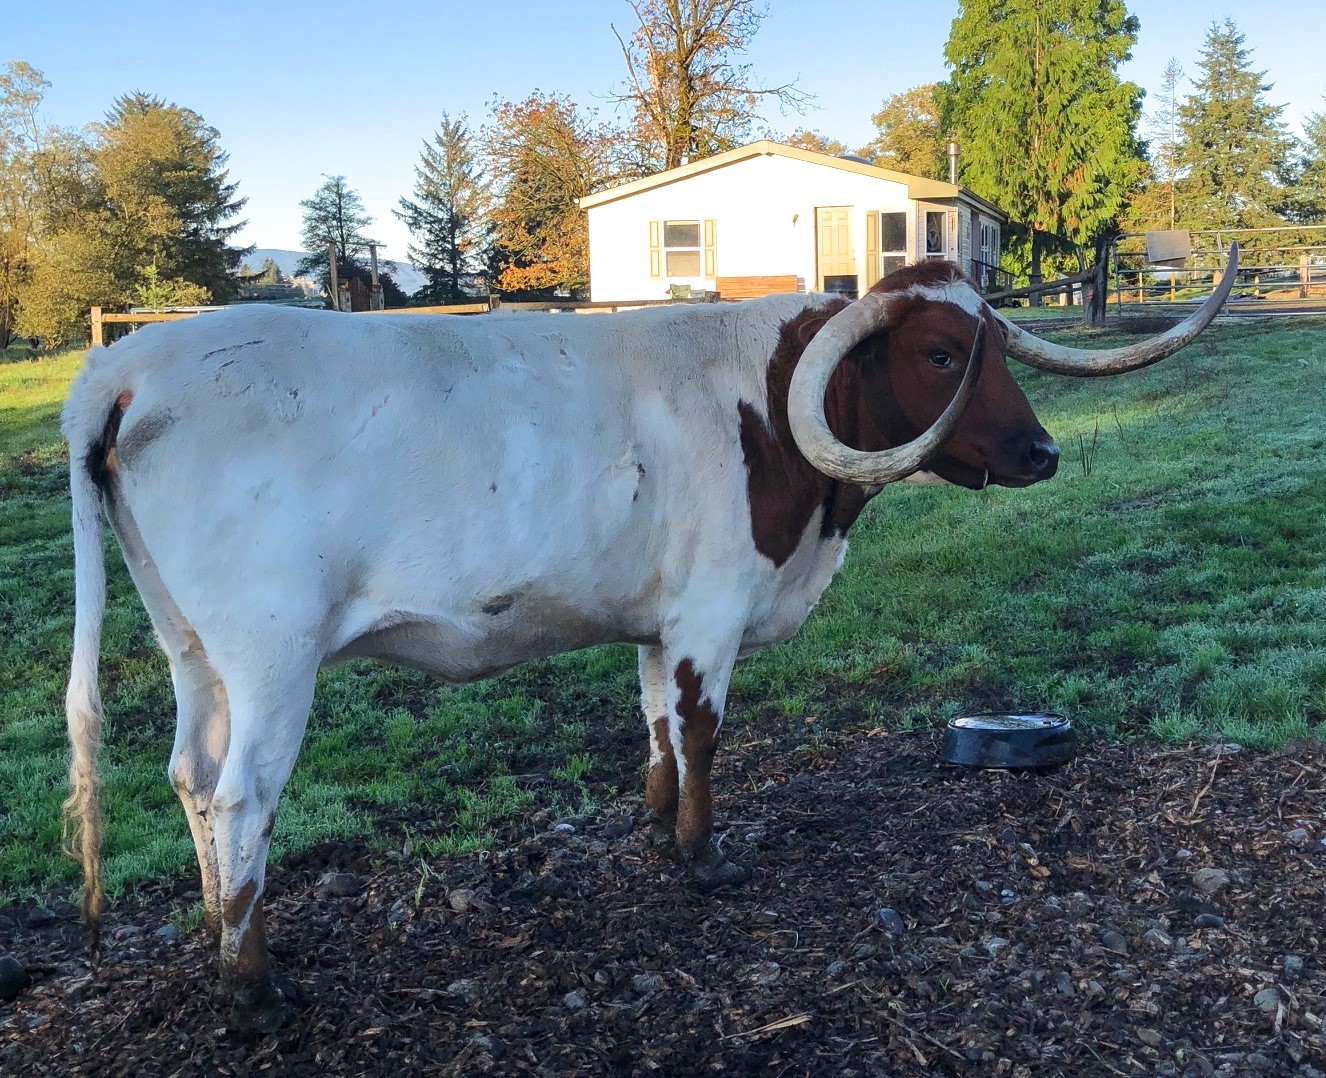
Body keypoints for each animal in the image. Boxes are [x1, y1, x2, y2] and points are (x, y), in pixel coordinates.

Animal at [61, 251, 1236, 1024]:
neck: (765, 409)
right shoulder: (712, 607)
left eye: (992, 347)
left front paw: (656, 817)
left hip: (192, 647)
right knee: (241, 795)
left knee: (189, 775)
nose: (1043, 452)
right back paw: (252, 981)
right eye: (945, 353)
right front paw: (703, 854)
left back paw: (217, 926)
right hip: (271, 654)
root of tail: (127, 367)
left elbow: (657, 719)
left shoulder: (657, 614)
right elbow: (705, 729)